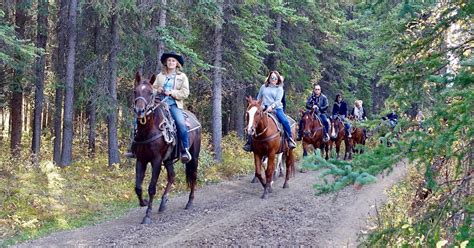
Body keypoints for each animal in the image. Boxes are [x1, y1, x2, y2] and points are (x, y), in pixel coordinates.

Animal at [132, 72, 201, 225]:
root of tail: (194, 117)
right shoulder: (141, 159)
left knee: (193, 175)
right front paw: (144, 202)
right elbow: (138, 187)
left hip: (194, 155)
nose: (139, 111)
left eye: (150, 93)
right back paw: (163, 203)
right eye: (135, 91)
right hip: (168, 159)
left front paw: (147, 215)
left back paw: (190, 202)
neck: (149, 130)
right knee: (172, 176)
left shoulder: (156, 160)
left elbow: (152, 188)